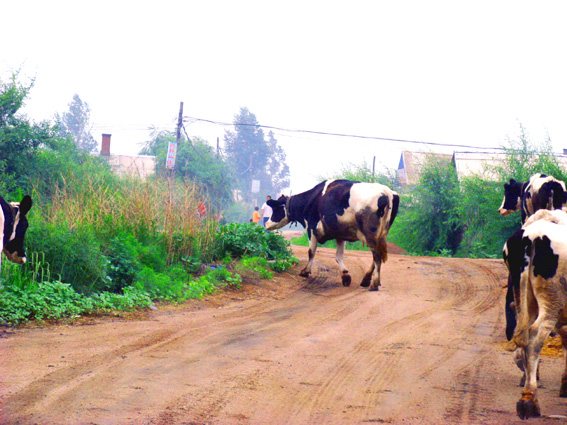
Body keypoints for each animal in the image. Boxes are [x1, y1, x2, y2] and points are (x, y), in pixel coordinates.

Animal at [266, 177, 400, 290]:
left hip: (371, 233)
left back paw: (374, 284)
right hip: (382, 233)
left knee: (376, 255)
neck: (313, 199)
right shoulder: (340, 234)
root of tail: (386, 191)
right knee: (378, 254)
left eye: (275, 209)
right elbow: (338, 256)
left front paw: (305, 271)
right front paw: (345, 276)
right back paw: (366, 280)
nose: (266, 224)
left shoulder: (312, 228)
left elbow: (311, 252)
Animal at [504, 209, 567, 418]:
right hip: (552, 301)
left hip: (525, 298)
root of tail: (530, 237)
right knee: (534, 337)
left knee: (523, 337)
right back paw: (529, 401)